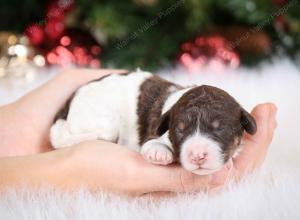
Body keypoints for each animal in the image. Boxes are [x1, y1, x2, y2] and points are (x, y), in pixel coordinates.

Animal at [50, 70, 256, 175]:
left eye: (220, 129)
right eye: (180, 130)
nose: (197, 155)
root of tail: (68, 103)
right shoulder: (154, 132)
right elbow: (151, 143)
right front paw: (159, 153)